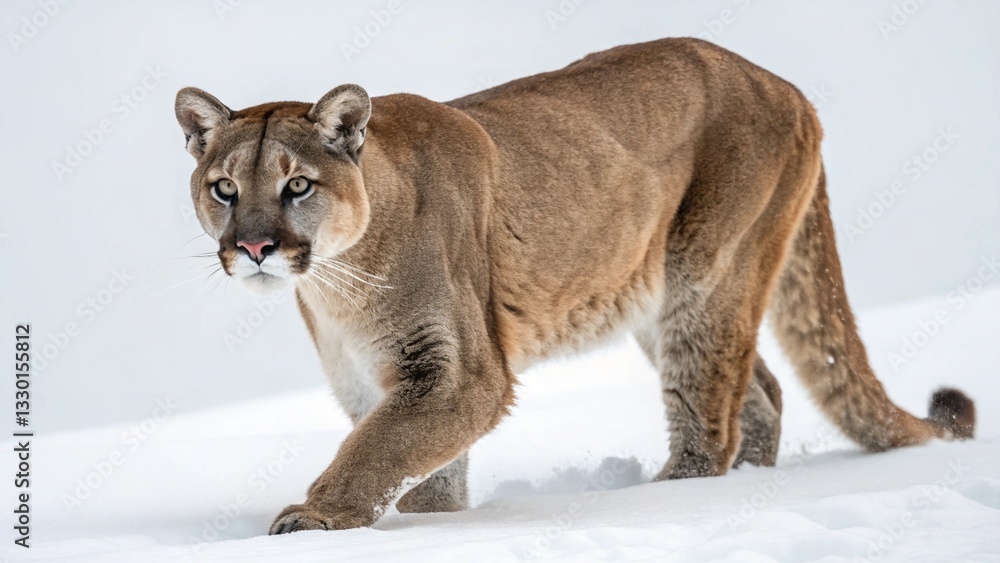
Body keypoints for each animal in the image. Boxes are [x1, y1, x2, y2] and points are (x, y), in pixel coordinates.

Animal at [174, 37, 975, 534]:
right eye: (224, 188)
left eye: (297, 185)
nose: (253, 246)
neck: (341, 282)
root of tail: (783, 84)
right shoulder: (383, 382)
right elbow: (420, 468)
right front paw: (430, 527)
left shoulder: (457, 374)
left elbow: (377, 453)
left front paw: (313, 521)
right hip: (667, 295)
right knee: (763, 395)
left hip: (705, 275)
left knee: (709, 417)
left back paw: (672, 501)